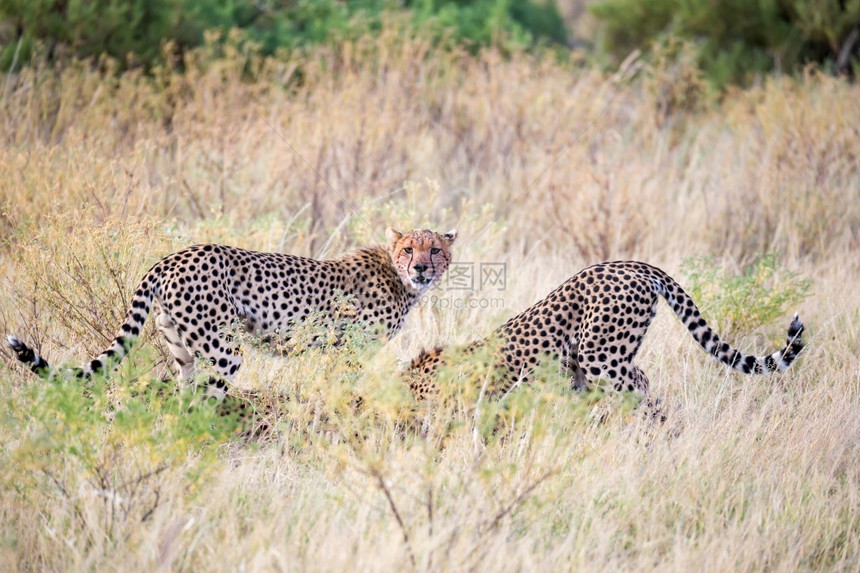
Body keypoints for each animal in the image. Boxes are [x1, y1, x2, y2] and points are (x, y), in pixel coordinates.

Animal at [6, 226, 460, 392]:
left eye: (435, 249)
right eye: (409, 249)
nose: (421, 267)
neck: (399, 278)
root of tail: (171, 257)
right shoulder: (349, 351)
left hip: (181, 349)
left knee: (183, 395)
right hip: (223, 349)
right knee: (206, 396)